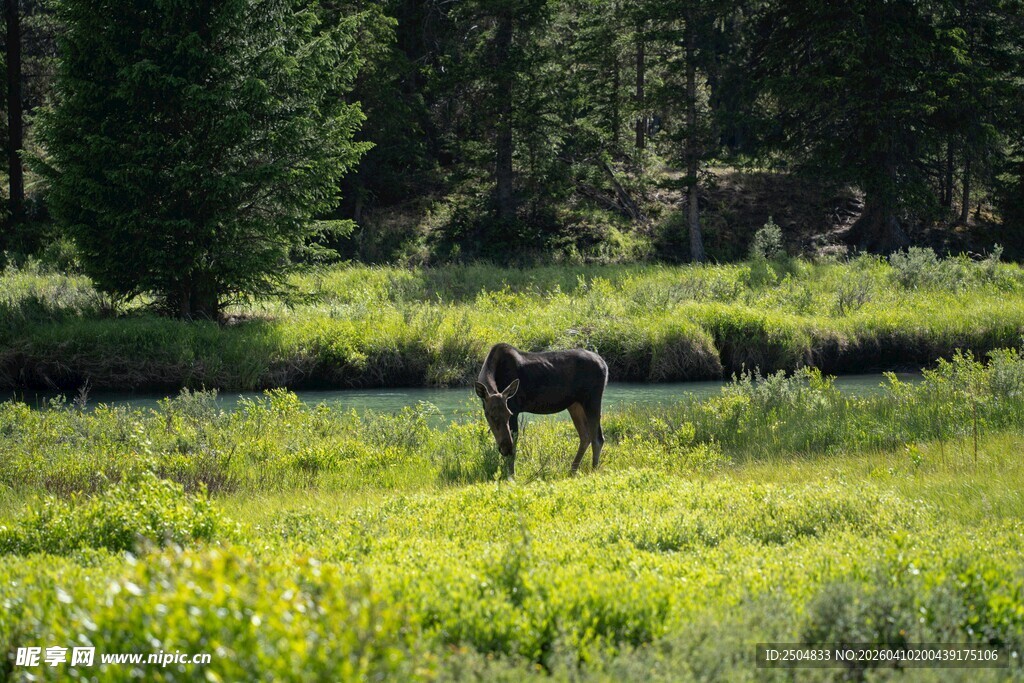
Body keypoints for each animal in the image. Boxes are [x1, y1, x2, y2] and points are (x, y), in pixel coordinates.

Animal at [475, 343, 608, 478]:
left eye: (508, 414)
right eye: (491, 415)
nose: (506, 448)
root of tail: (604, 364)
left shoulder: (514, 408)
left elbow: (515, 446)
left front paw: (511, 475)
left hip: (592, 399)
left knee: (597, 438)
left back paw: (593, 470)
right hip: (575, 404)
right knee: (585, 436)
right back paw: (572, 470)